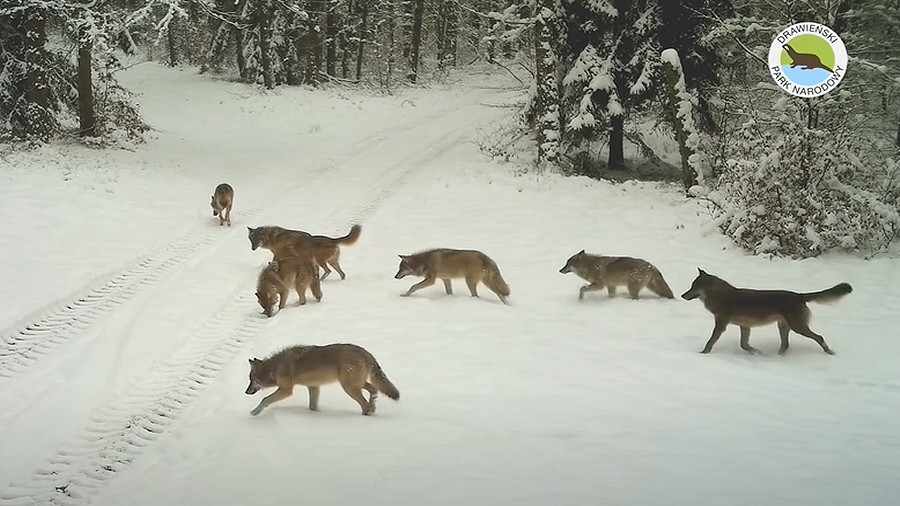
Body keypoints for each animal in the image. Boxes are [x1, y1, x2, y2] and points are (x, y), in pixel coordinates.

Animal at [246, 344, 400, 416]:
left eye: (251, 380)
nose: (246, 392)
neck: (275, 367)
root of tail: (365, 352)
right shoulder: (314, 387)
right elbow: (312, 407)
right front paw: (316, 415)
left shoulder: (286, 390)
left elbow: (265, 399)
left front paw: (254, 412)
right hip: (356, 384)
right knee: (374, 389)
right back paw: (373, 406)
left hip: (349, 387)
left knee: (365, 405)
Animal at [684, 268, 852, 356]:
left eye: (693, 287)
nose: (682, 295)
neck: (720, 296)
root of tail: (799, 295)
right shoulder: (745, 326)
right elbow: (744, 345)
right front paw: (756, 353)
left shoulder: (721, 325)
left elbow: (711, 341)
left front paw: (702, 354)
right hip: (783, 326)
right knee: (786, 345)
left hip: (798, 328)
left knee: (819, 337)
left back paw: (829, 352)